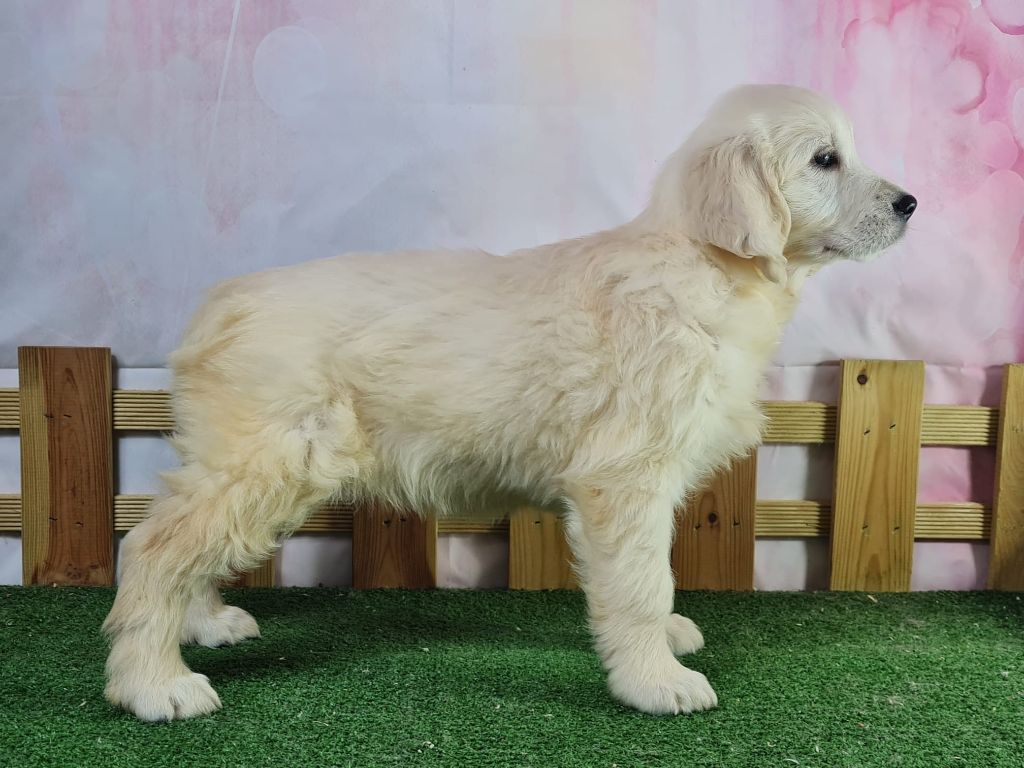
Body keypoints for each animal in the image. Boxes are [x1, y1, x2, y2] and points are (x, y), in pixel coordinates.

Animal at [103, 84, 915, 721]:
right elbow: (643, 583)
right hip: (271, 458)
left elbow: (653, 579)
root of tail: (221, 303)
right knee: (152, 547)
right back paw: (156, 685)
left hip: (238, 462)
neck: (706, 269)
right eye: (824, 160)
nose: (911, 201)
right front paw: (657, 682)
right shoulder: (624, 477)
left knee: (184, 541)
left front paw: (668, 641)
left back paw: (204, 624)